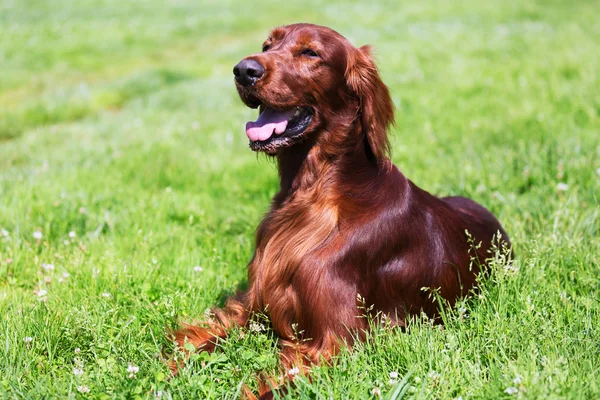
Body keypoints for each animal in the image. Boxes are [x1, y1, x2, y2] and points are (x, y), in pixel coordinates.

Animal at [173, 23, 510, 398]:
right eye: (267, 45)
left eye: (310, 53)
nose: (244, 70)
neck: (312, 194)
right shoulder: (250, 308)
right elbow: (194, 341)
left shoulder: (335, 343)